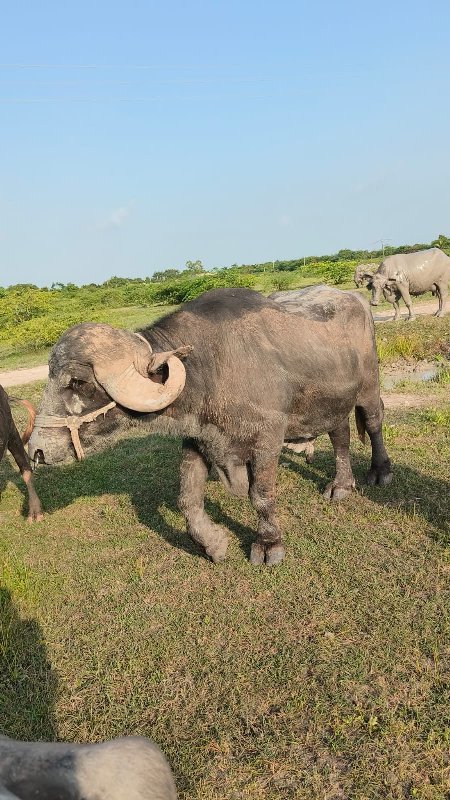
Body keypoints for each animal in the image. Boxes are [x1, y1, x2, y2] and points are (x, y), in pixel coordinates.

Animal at [29, 286, 392, 564]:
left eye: (77, 382)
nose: (37, 450)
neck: (209, 367)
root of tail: (357, 300)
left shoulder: (268, 437)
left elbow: (260, 494)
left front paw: (269, 544)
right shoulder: (199, 438)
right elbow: (187, 499)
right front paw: (213, 544)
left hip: (368, 388)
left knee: (374, 423)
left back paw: (379, 471)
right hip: (333, 403)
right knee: (340, 436)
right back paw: (341, 484)